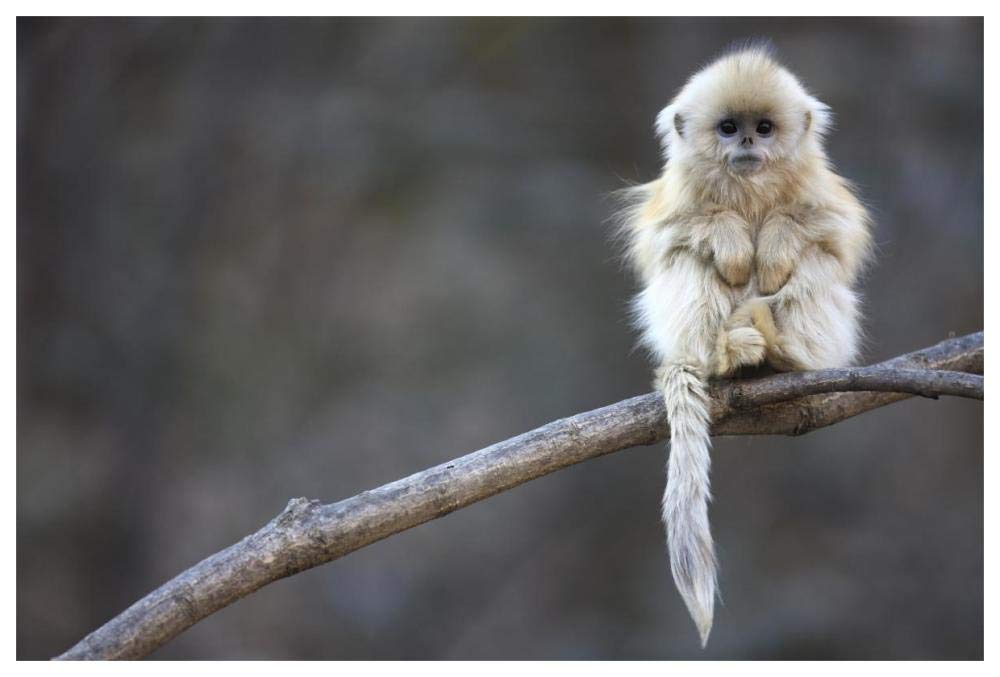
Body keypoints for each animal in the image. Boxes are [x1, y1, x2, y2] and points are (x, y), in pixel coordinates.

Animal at [617, 44, 872, 646]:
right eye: (728, 128)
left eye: (764, 128)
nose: (749, 144)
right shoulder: (675, 199)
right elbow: (669, 237)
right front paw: (732, 239)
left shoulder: (821, 192)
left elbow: (835, 233)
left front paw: (775, 243)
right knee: (687, 260)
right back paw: (726, 355)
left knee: (816, 260)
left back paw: (782, 351)